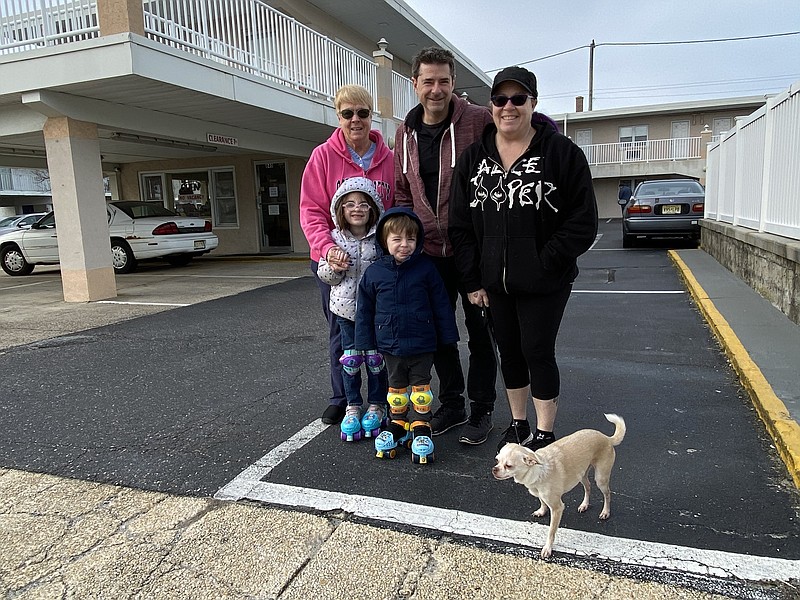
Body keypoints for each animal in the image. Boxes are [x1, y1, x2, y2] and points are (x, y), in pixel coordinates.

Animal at [494, 412, 624, 556]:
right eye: (497, 460)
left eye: (509, 466)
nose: (494, 469)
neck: (538, 471)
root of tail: (607, 438)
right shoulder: (541, 494)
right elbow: (542, 502)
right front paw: (541, 511)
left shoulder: (557, 508)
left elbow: (551, 531)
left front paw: (547, 548)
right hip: (581, 475)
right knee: (588, 487)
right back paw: (584, 505)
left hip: (601, 478)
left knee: (607, 494)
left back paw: (605, 512)